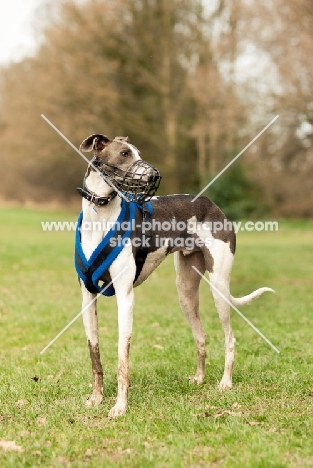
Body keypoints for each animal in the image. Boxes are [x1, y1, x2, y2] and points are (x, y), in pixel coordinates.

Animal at [77, 133, 270, 418]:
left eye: (137, 152)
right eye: (124, 153)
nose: (155, 175)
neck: (100, 217)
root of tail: (211, 203)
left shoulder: (125, 297)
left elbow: (123, 357)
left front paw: (120, 406)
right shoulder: (88, 297)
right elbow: (94, 354)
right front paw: (96, 398)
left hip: (219, 287)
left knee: (230, 338)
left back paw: (225, 382)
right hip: (185, 292)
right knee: (201, 336)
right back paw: (199, 378)